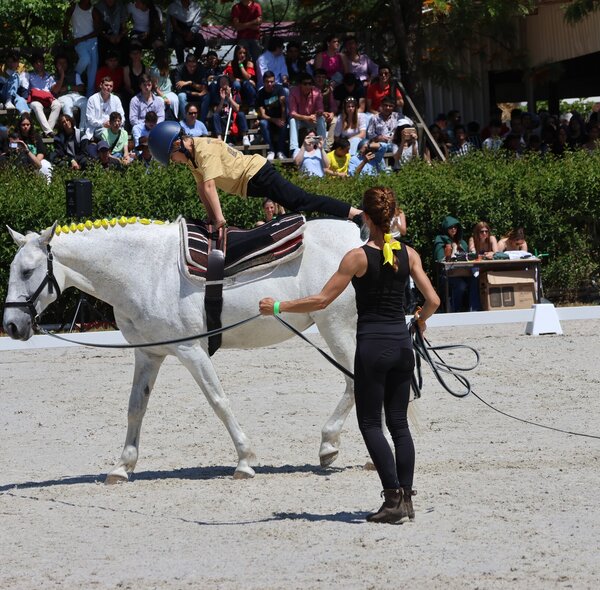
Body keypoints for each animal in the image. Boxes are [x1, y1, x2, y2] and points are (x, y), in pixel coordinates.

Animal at [3, 217, 362, 483]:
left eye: (27, 271)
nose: (11, 325)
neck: (145, 270)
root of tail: (360, 242)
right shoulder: (149, 353)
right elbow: (136, 407)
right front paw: (122, 466)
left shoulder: (192, 352)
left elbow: (219, 401)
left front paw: (245, 459)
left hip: (336, 327)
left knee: (354, 381)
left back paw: (329, 444)